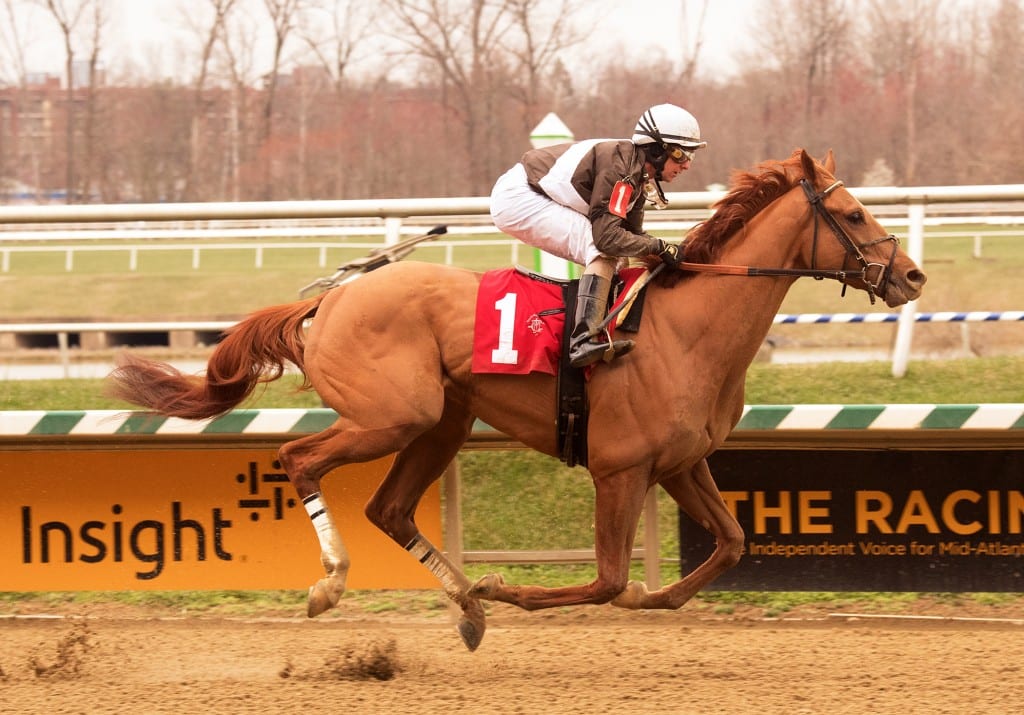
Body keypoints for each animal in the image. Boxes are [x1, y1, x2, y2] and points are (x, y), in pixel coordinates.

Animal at [108, 148, 925, 647]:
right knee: (299, 458)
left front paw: (644, 598)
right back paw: (334, 585)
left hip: (442, 421)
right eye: (854, 214)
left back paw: (465, 604)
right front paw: (506, 586)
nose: (912, 276)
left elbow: (728, 544)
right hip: (389, 415)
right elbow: (605, 579)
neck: (684, 328)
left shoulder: (680, 463)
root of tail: (330, 300)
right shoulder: (621, 470)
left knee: (389, 508)